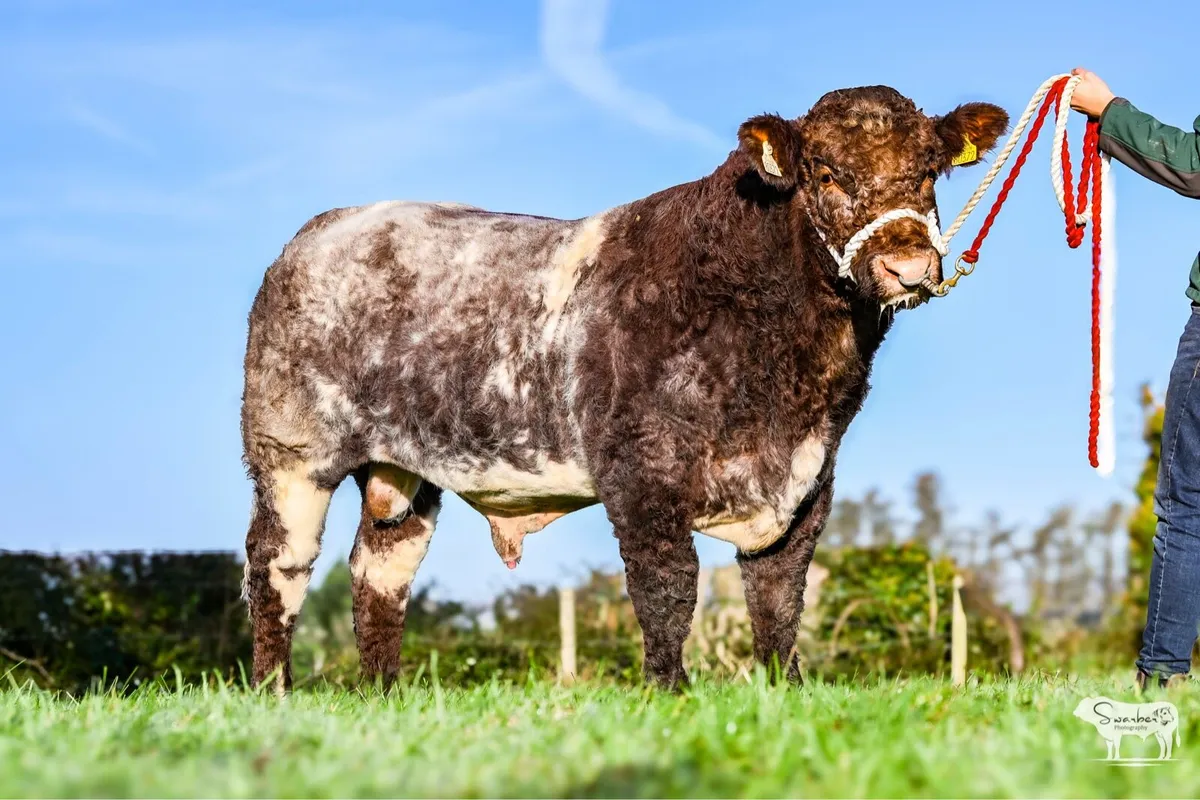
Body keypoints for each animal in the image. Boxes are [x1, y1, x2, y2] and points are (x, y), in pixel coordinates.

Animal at [240, 85, 1008, 690]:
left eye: (929, 172)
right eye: (824, 172)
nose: (909, 266)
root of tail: (322, 231)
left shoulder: (810, 477)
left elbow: (779, 595)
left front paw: (783, 689)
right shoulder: (642, 470)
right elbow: (667, 586)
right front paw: (669, 691)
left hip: (405, 469)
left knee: (380, 569)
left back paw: (383, 692)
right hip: (290, 452)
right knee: (280, 563)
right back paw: (275, 688)